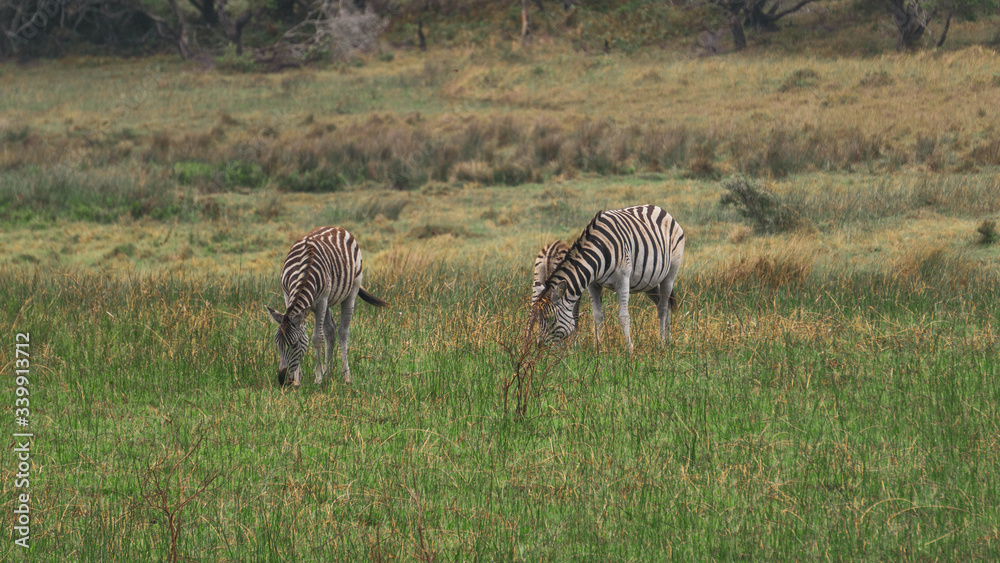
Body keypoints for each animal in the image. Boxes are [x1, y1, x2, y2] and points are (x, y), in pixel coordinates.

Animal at [266, 226, 387, 386]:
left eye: (294, 345)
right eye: (277, 344)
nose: (283, 381)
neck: (304, 270)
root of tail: (337, 228)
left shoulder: (321, 302)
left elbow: (317, 338)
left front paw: (318, 378)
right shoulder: (287, 295)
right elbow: (313, 333)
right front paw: (299, 378)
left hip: (352, 289)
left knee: (343, 332)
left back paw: (345, 376)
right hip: (329, 299)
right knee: (330, 330)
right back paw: (328, 372)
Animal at [531, 205, 685, 351]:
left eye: (551, 319)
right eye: (538, 318)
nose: (539, 348)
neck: (598, 251)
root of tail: (660, 209)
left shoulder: (623, 280)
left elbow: (624, 317)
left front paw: (629, 350)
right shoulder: (593, 284)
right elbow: (597, 315)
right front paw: (597, 348)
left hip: (670, 274)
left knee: (663, 307)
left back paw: (661, 343)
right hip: (650, 282)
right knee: (664, 304)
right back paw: (668, 340)